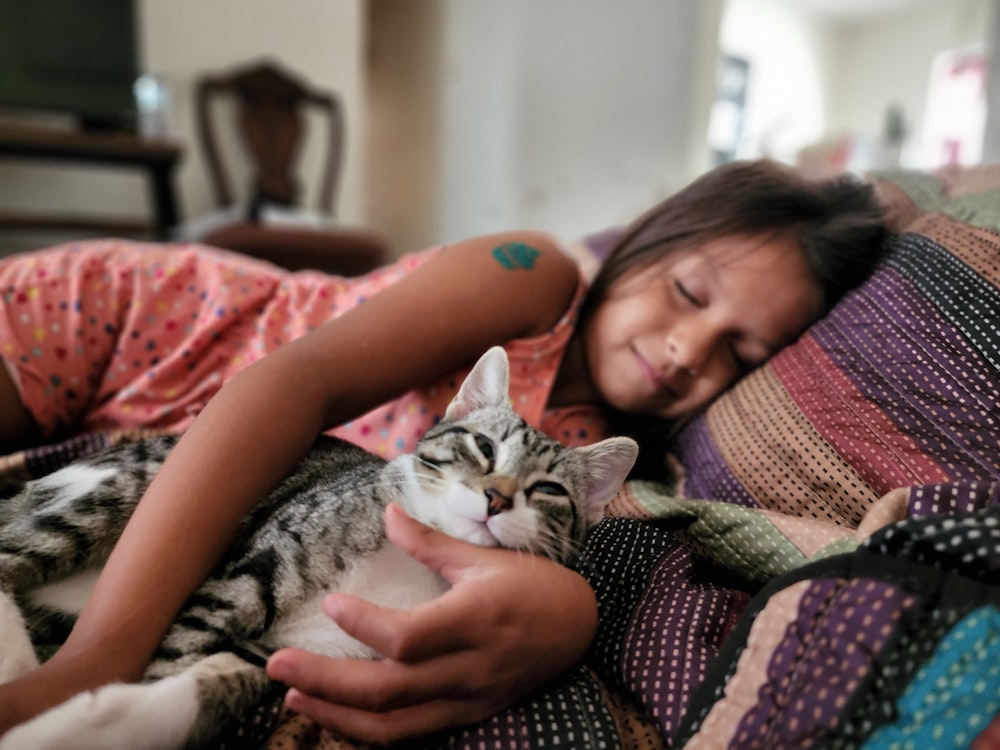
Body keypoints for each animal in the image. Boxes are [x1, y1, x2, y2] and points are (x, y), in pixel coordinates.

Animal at [0, 350, 640, 750]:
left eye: (549, 490)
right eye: (484, 446)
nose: (498, 497)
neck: (412, 565)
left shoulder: (299, 656)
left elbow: (208, 683)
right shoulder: (252, 570)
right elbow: (179, 649)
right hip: (116, 494)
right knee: (12, 553)